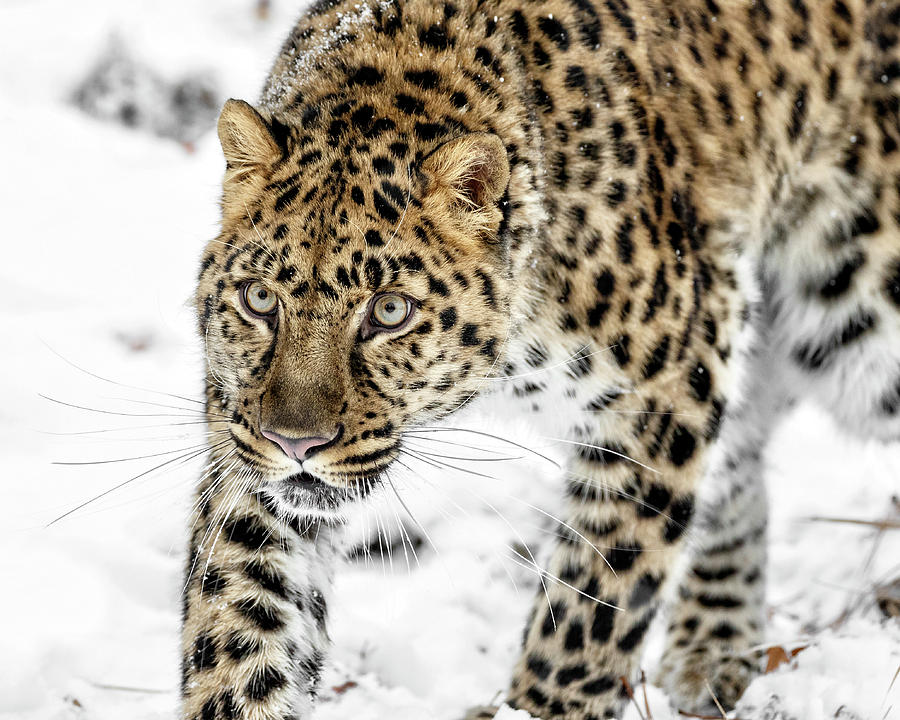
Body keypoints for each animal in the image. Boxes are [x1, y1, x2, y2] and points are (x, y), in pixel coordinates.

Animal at [181, 0, 900, 716]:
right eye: (259, 299)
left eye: (389, 311)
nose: (295, 443)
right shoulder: (243, 433)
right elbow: (241, 610)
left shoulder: (668, 388)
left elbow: (592, 606)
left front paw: (542, 707)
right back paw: (713, 646)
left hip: (858, 321)